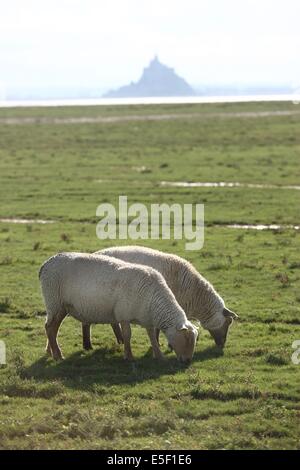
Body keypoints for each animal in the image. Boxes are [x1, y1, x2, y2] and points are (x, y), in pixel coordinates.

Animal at [38, 253, 198, 364]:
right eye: (186, 339)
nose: (187, 361)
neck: (154, 300)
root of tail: (46, 264)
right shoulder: (123, 315)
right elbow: (127, 335)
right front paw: (129, 356)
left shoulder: (147, 319)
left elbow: (152, 337)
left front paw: (159, 356)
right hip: (55, 301)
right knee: (50, 328)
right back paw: (58, 356)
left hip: (58, 306)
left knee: (51, 328)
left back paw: (51, 352)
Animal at [88, 246, 238, 348]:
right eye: (228, 323)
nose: (222, 344)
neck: (194, 295)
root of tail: (96, 253)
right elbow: (159, 328)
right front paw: (162, 344)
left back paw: (120, 340)